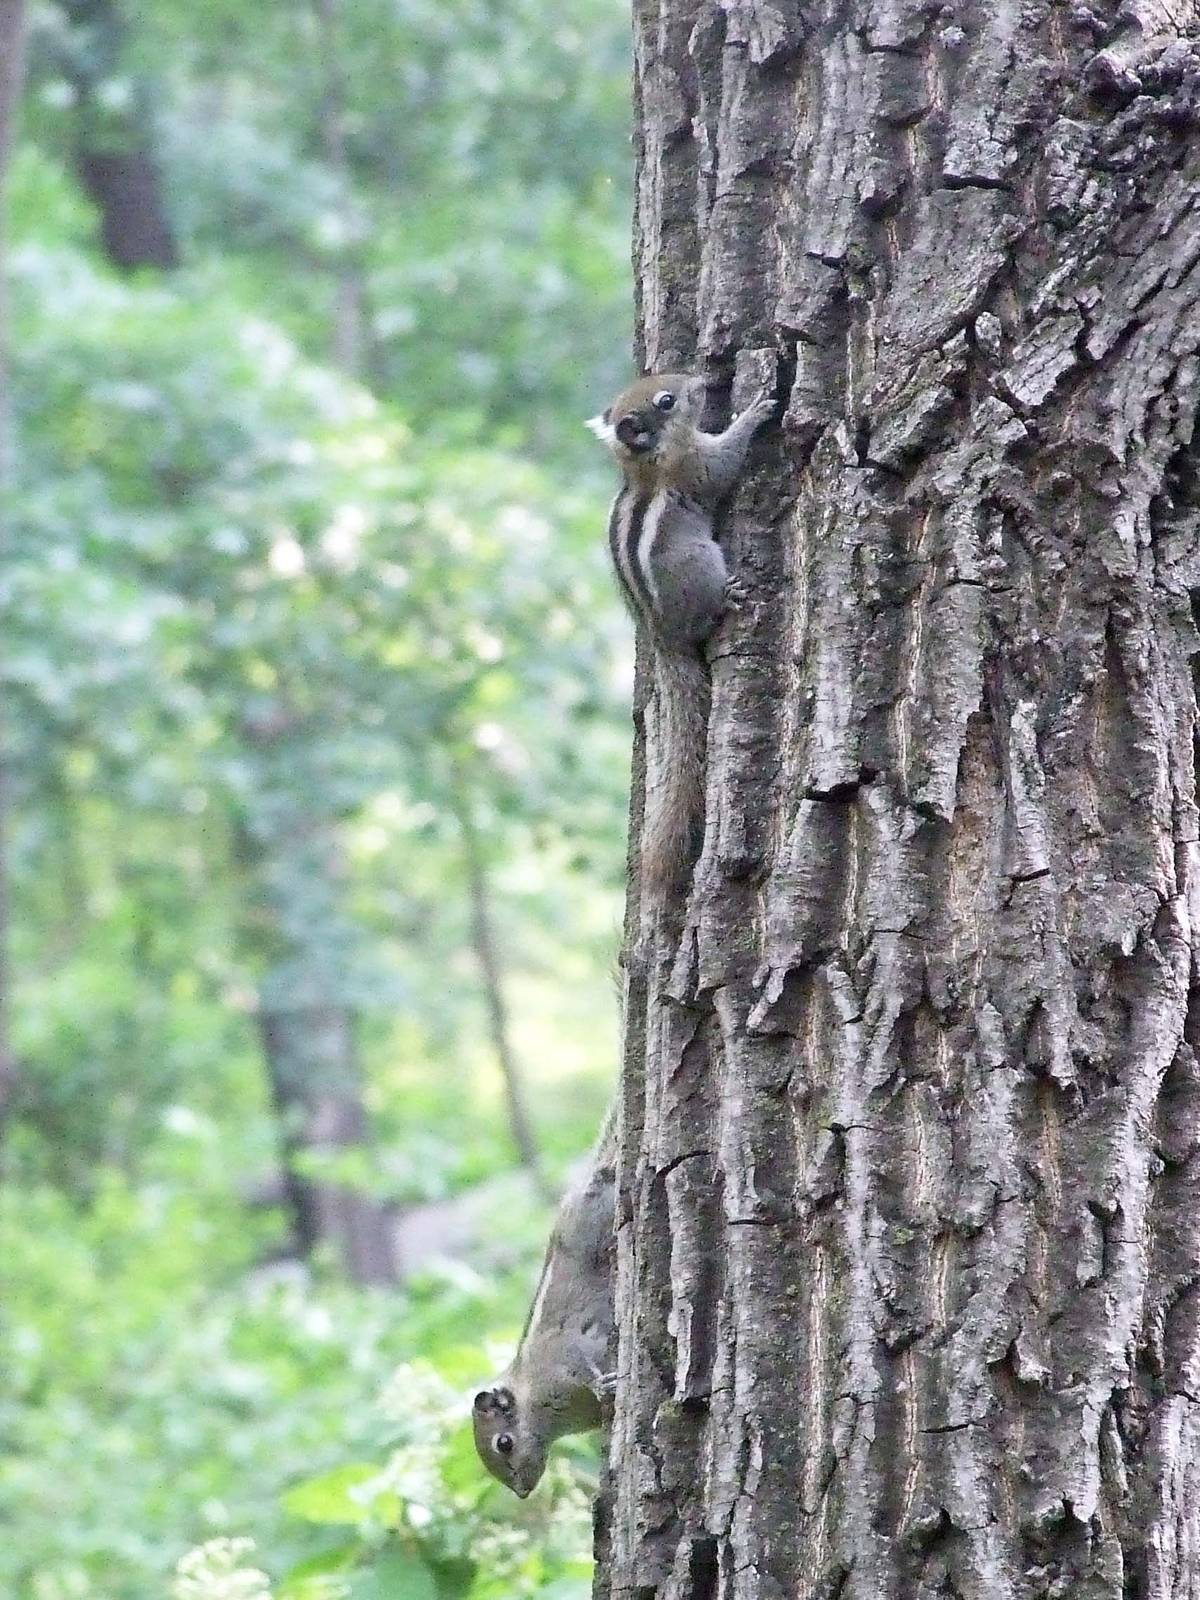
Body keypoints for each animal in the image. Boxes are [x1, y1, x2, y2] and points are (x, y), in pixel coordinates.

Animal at [472, 1104, 618, 1497]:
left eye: (503, 1443)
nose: (522, 1492)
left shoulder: (561, 1357)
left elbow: (581, 1362)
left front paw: (603, 1385)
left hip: (592, 1227)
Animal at [586, 373, 775, 891]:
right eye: (667, 401)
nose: (702, 380)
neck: (645, 463)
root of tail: (660, 636)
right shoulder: (695, 466)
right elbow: (726, 464)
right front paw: (755, 410)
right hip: (702, 565)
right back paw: (728, 599)